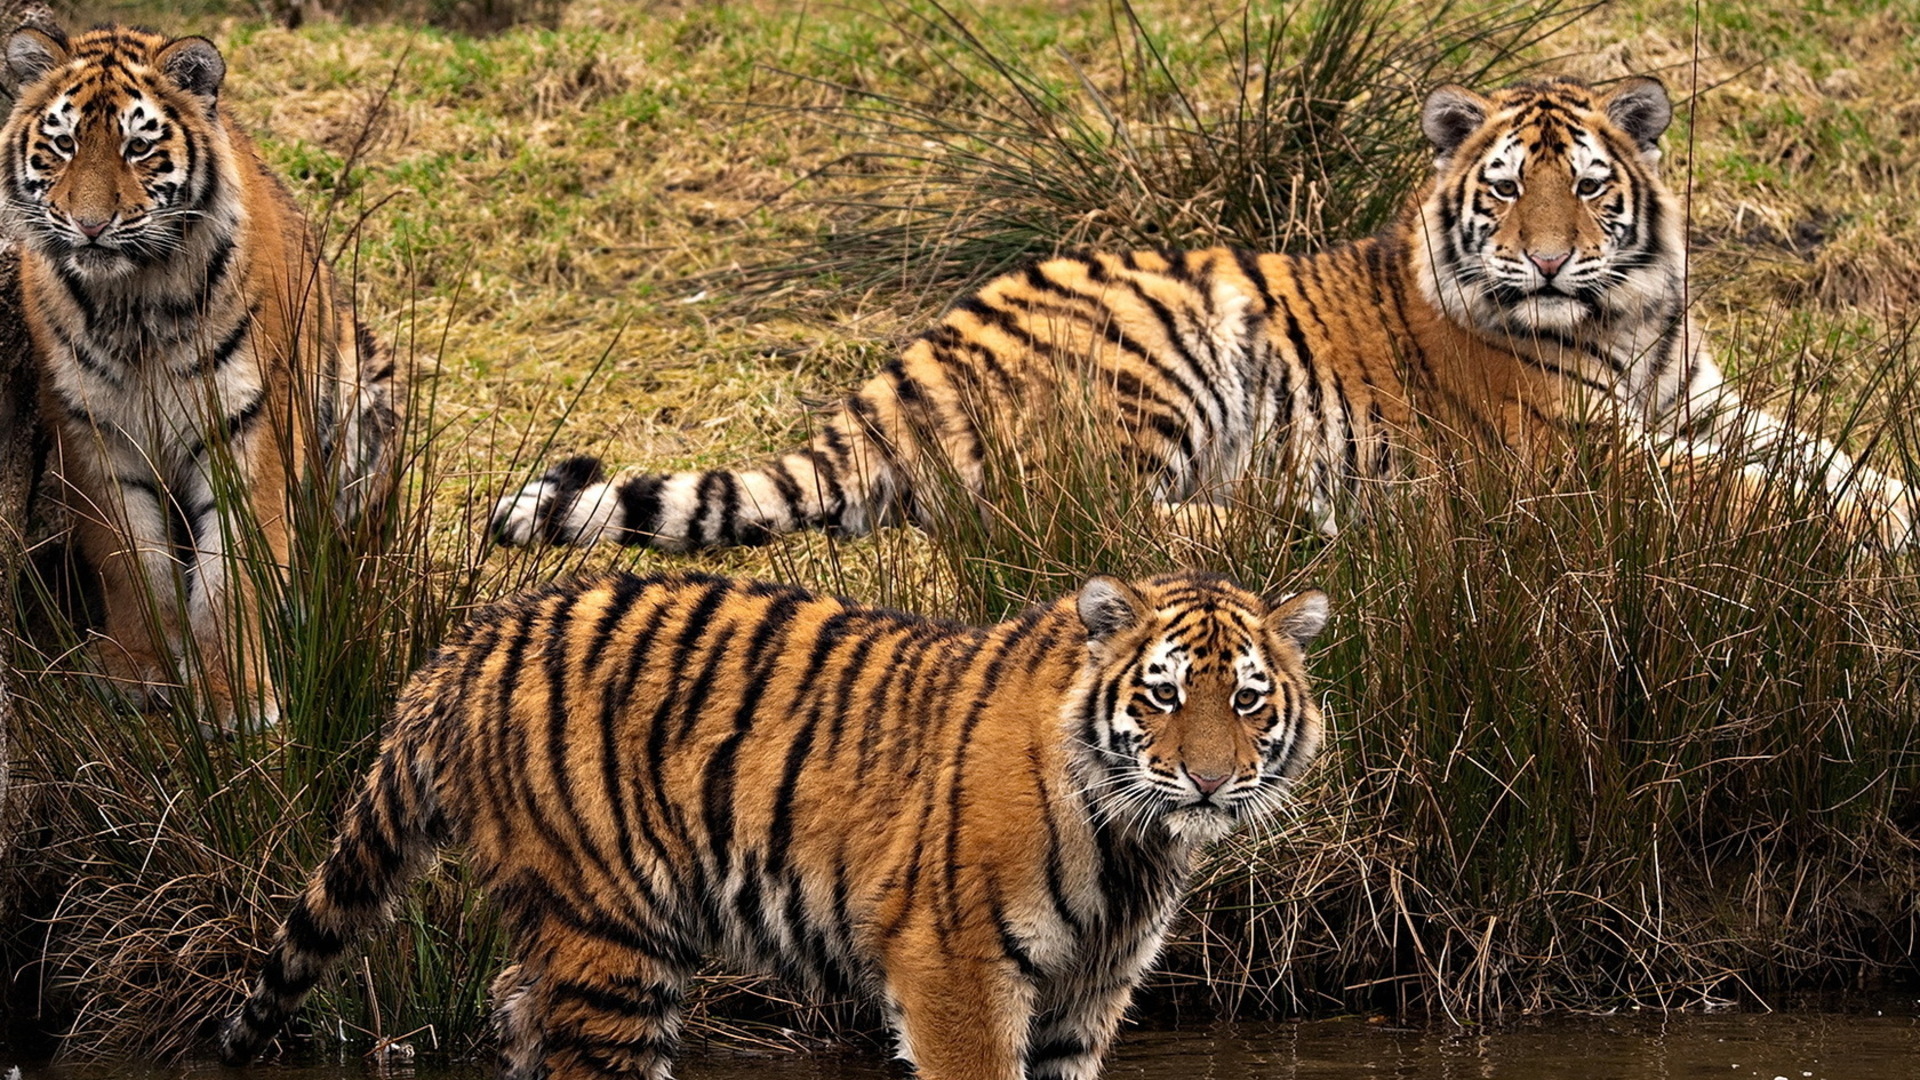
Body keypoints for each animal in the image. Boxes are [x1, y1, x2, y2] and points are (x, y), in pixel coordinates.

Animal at [2, 25, 401, 726]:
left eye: (138, 147)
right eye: (64, 144)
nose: (90, 225)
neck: (131, 301)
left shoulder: (251, 426)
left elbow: (235, 574)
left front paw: (232, 697)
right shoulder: (92, 430)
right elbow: (129, 559)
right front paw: (140, 670)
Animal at [217, 568, 1328, 1068]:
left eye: (1248, 701)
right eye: (1163, 696)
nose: (1210, 784)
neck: (1134, 845)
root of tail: (468, 643)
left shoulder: (1088, 993)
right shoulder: (956, 970)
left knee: (512, 1004)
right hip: (611, 934)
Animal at [499, 73, 1920, 553]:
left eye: (1589, 186)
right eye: (1508, 191)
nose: (1555, 265)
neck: (1624, 321)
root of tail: (895, 374)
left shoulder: (1701, 400)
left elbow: (1832, 462)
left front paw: (1891, 505)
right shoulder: (1579, 453)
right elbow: (1747, 494)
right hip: (1170, 345)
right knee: (1076, 519)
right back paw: (1303, 515)